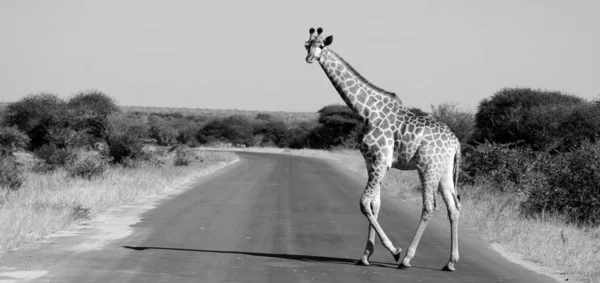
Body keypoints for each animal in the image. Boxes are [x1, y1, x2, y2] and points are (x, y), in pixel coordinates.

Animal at [304, 27, 464, 272]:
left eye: (321, 46)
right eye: (306, 45)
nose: (310, 58)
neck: (366, 110)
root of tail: (456, 142)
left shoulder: (381, 160)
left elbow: (363, 203)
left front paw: (394, 251)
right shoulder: (371, 161)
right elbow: (374, 204)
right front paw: (365, 256)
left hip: (428, 167)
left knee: (429, 207)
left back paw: (407, 258)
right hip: (444, 170)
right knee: (453, 208)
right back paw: (450, 262)